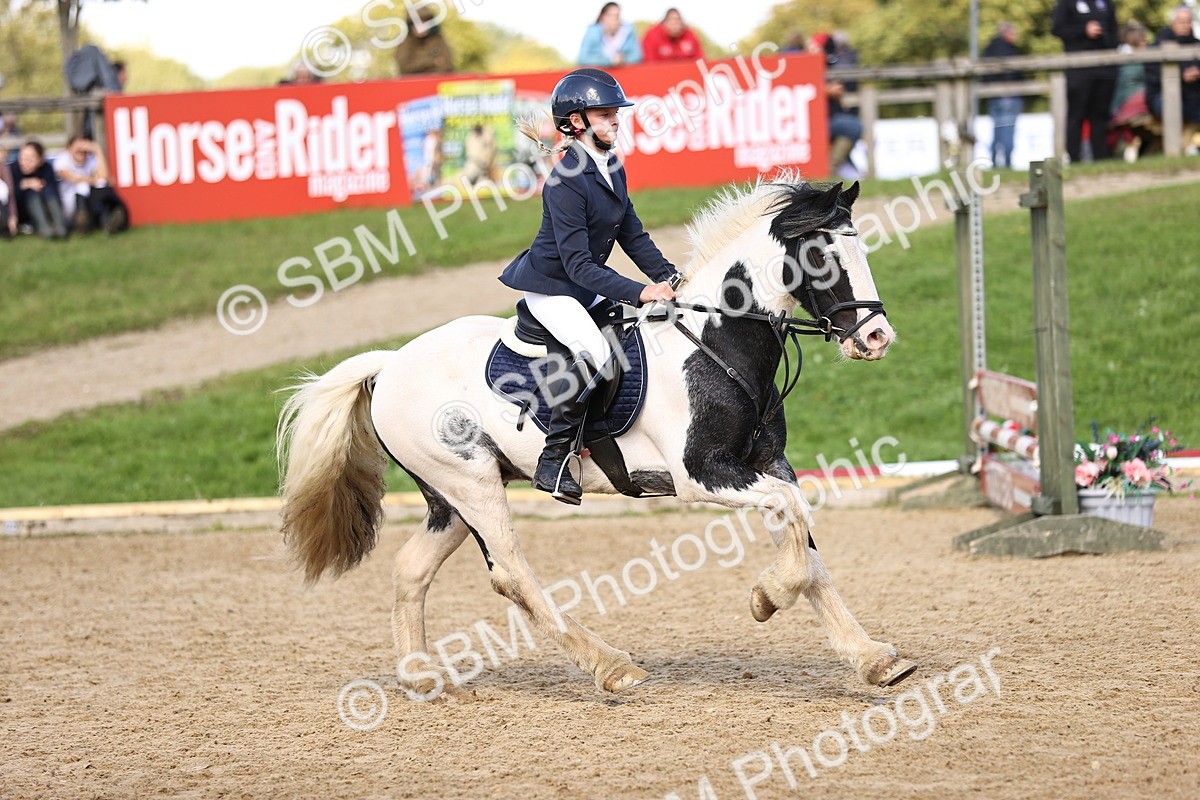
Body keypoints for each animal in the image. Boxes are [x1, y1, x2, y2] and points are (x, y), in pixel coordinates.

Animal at [276, 173, 916, 698]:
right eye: (821, 255)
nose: (877, 338)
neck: (718, 342)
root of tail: (390, 364)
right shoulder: (704, 475)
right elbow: (793, 524)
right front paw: (766, 599)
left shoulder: (768, 464)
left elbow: (806, 541)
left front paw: (874, 660)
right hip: (472, 483)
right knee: (511, 572)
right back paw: (611, 667)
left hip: (451, 497)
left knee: (413, 567)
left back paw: (420, 677)